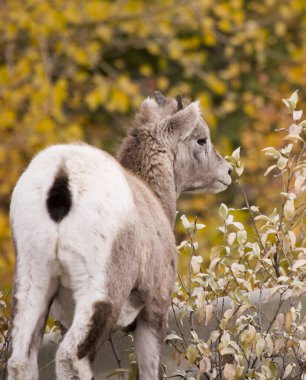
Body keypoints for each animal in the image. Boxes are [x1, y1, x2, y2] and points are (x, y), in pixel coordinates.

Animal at [7, 92, 232, 380]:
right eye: (201, 139)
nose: (227, 172)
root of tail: (64, 173)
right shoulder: (154, 309)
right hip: (100, 294)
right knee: (71, 358)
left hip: (32, 286)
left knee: (20, 361)